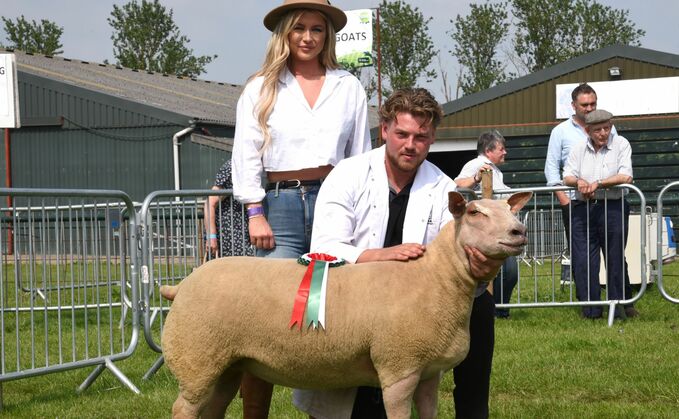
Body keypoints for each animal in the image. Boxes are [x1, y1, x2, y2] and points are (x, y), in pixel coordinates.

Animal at [162, 191, 532, 419]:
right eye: (474, 212)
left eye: (511, 211)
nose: (519, 232)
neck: (435, 278)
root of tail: (180, 286)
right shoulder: (399, 367)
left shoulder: (430, 371)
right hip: (196, 357)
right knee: (183, 409)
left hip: (227, 363)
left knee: (212, 409)